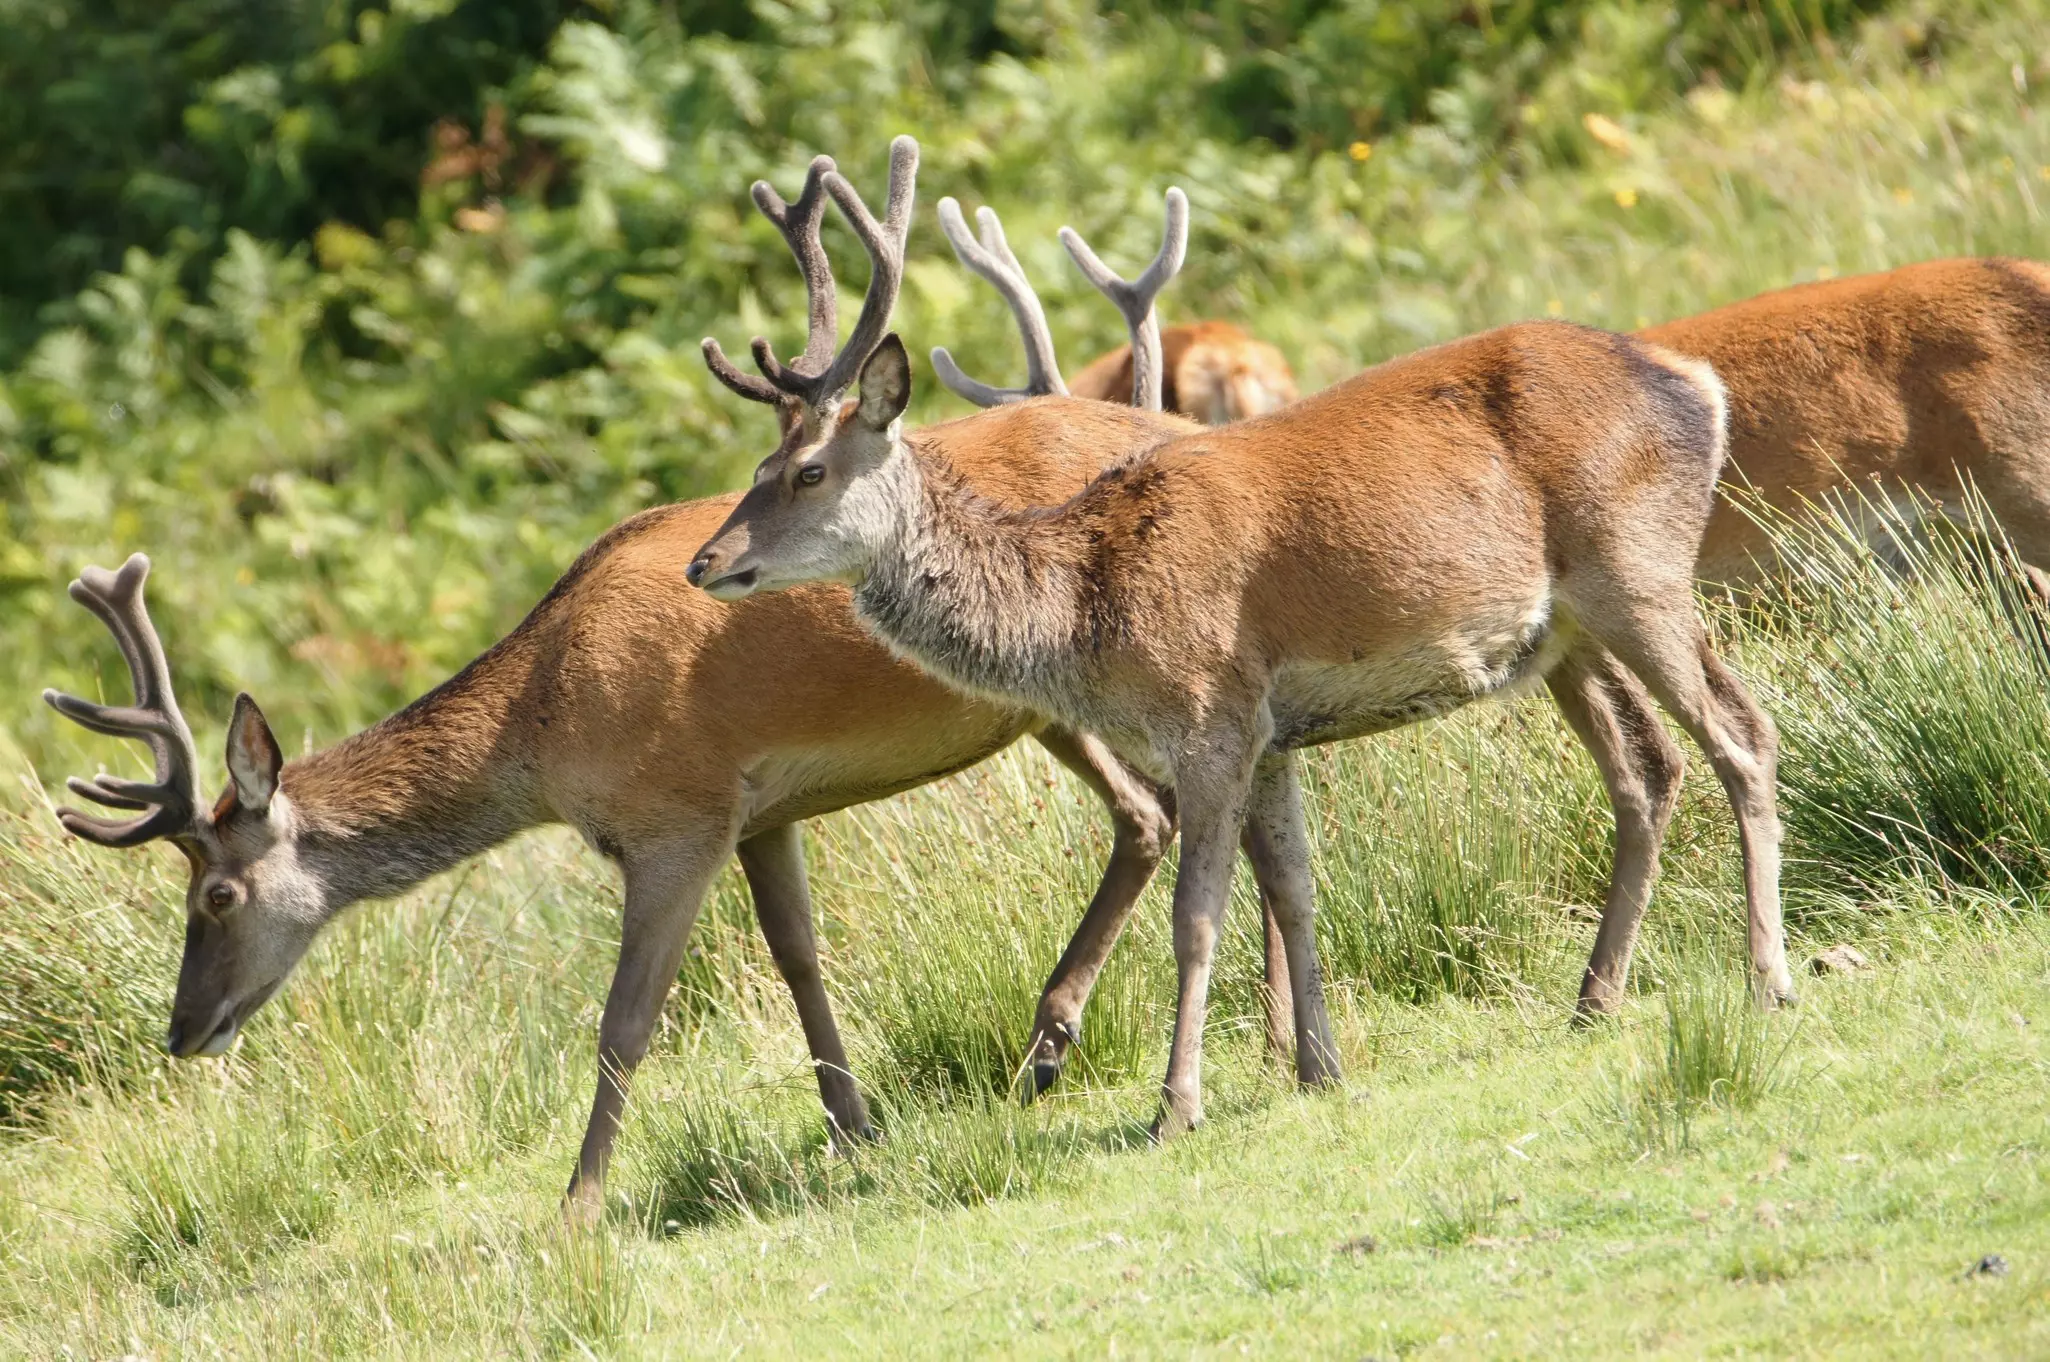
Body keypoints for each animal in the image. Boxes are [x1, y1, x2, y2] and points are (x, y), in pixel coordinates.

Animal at [39, 140, 1226, 1225]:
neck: (545, 732)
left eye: (215, 894)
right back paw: (1077, 1041)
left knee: (1160, 810)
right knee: (1149, 816)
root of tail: (1180, 420)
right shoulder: (759, 809)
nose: (182, 1029)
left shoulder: (674, 815)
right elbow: (799, 957)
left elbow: (623, 1021)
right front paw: (855, 1129)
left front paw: (578, 1202)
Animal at [686, 181, 1794, 1139]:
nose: (705, 561)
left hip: (1636, 567)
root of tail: (1697, 382)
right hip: (1563, 634)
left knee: (1742, 733)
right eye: (759, 467)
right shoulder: (1270, 732)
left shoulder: (1208, 712)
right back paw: (1594, 999)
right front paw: (1319, 1068)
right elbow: (1296, 889)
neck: (1087, 611)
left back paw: (1765, 980)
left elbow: (1196, 915)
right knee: (1648, 767)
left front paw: (1176, 1106)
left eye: (807, 471)